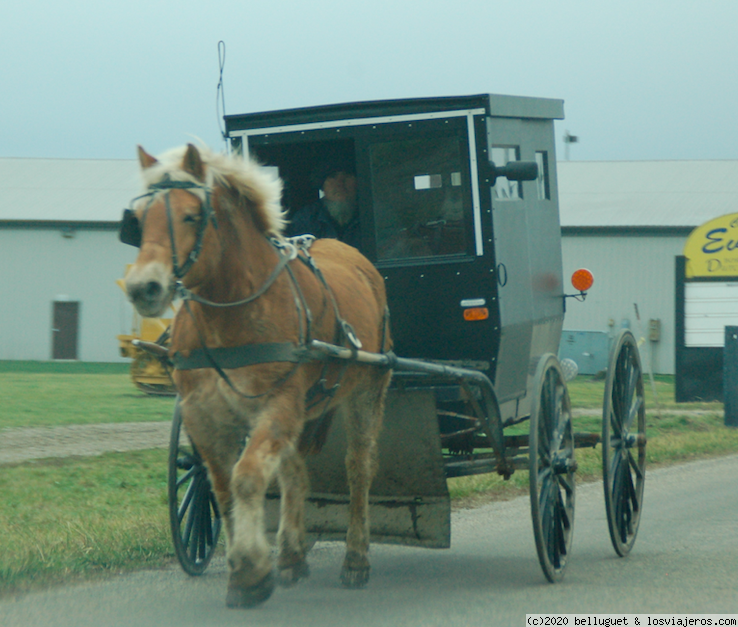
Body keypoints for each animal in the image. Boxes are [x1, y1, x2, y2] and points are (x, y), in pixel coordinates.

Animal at [122, 144, 392, 608]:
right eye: (139, 220)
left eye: (191, 215)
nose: (144, 288)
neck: (230, 315)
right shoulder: (203, 416)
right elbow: (223, 488)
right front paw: (245, 568)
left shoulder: (277, 405)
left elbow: (247, 478)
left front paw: (251, 570)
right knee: (295, 472)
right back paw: (291, 556)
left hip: (367, 392)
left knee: (359, 468)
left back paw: (356, 558)